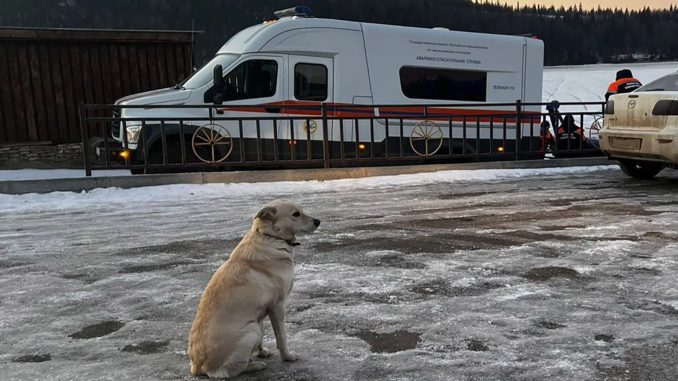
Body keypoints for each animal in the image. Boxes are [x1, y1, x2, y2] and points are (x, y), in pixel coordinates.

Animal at [189, 199, 322, 378]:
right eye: (296, 214)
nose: (318, 221)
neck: (270, 237)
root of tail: (197, 367)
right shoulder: (278, 306)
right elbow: (282, 337)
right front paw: (287, 356)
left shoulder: (262, 313)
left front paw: (262, 351)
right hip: (251, 331)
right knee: (228, 371)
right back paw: (255, 365)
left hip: (255, 326)